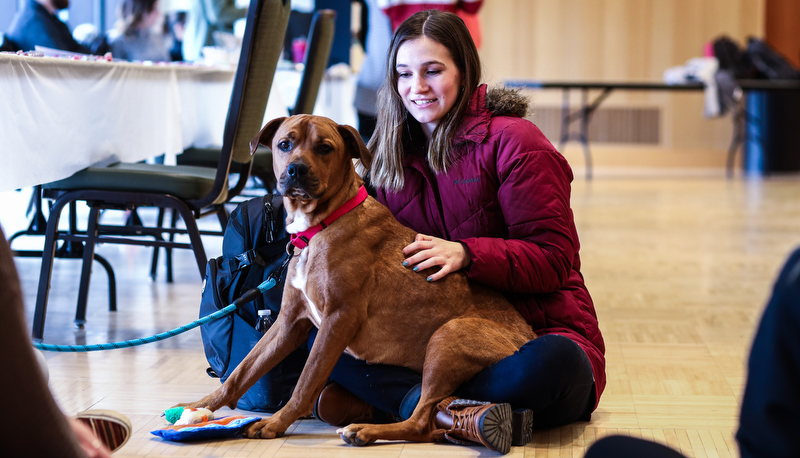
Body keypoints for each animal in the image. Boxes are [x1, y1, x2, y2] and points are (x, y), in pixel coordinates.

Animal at [181, 114, 536, 450]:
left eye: (324, 148)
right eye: (284, 144)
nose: (296, 169)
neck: (319, 226)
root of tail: (529, 335)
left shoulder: (338, 319)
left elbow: (306, 380)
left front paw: (276, 422)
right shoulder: (288, 323)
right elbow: (241, 372)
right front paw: (201, 407)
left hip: (449, 335)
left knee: (421, 420)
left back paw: (367, 430)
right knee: (429, 417)